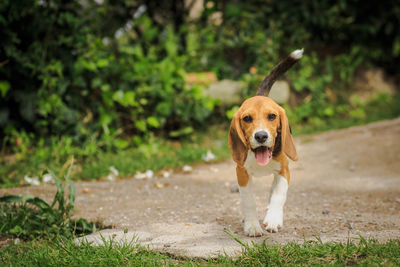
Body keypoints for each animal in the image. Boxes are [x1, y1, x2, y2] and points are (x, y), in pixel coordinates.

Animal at [228, 49, 304, 238]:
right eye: (247, 118)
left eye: (272, 116)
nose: (261, 136)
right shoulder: (242, 173)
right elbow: (248, 200)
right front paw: (252, 225)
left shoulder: (284, 170)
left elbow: (278, 194)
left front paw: (273, 219)